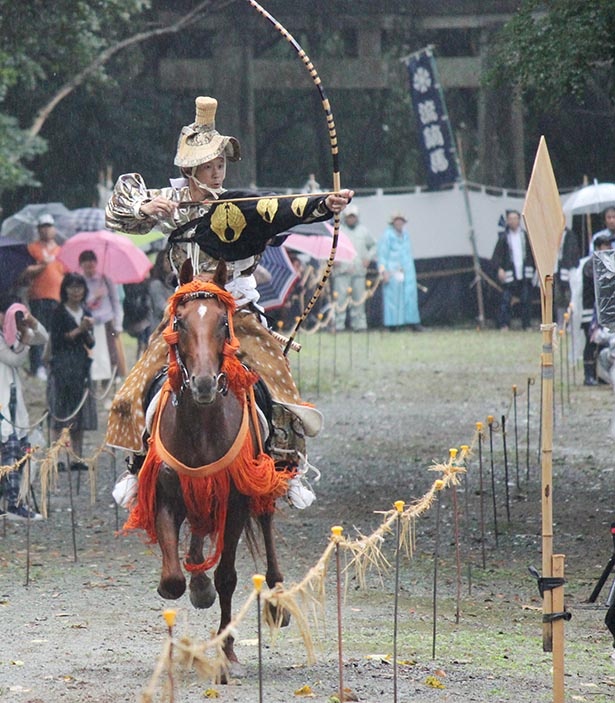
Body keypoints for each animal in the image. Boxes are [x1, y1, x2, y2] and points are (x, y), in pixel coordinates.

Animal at [125, 264, 292, 676]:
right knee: (199, 530)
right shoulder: (166, 495)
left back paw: (277, 599)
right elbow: (172, 581)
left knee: (265, 524)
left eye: (222, 322)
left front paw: (227, 649)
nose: (202, 383)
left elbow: (228, 576)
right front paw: (195, 587)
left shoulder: (236, 501)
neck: (201, 425)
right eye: (179, 322)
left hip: (263, 479)